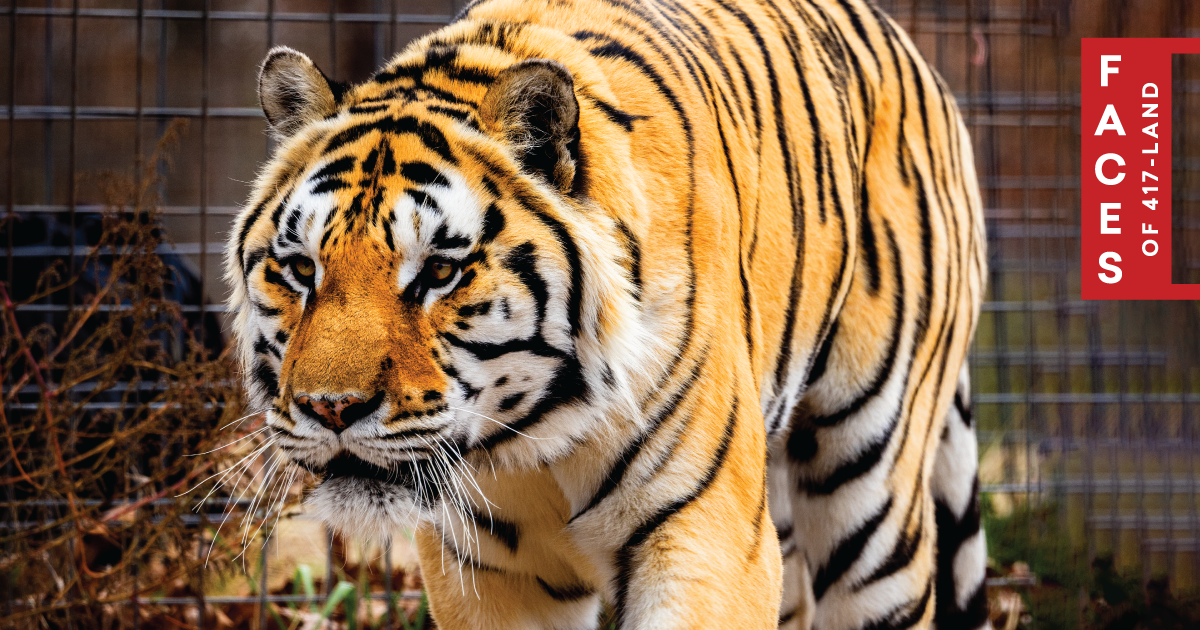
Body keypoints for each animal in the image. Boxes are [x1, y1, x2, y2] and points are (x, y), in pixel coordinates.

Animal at [225, 0, 984, 624]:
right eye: (301, 270)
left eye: (440, 272)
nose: (330, 409)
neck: (532, 437)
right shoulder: (484, 568)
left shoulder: (708, 540)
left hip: (870, 494)